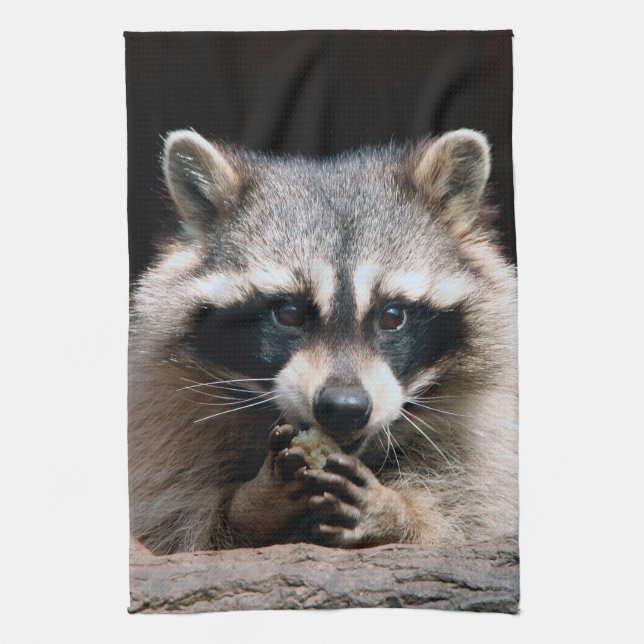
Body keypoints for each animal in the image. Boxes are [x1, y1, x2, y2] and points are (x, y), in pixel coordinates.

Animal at [128, 128, 518, 554]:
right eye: (289, 312)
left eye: (392, 316)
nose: (344, 408)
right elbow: (174, 524)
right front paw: (253, 505)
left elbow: (469, 521)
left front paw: (397, 513)